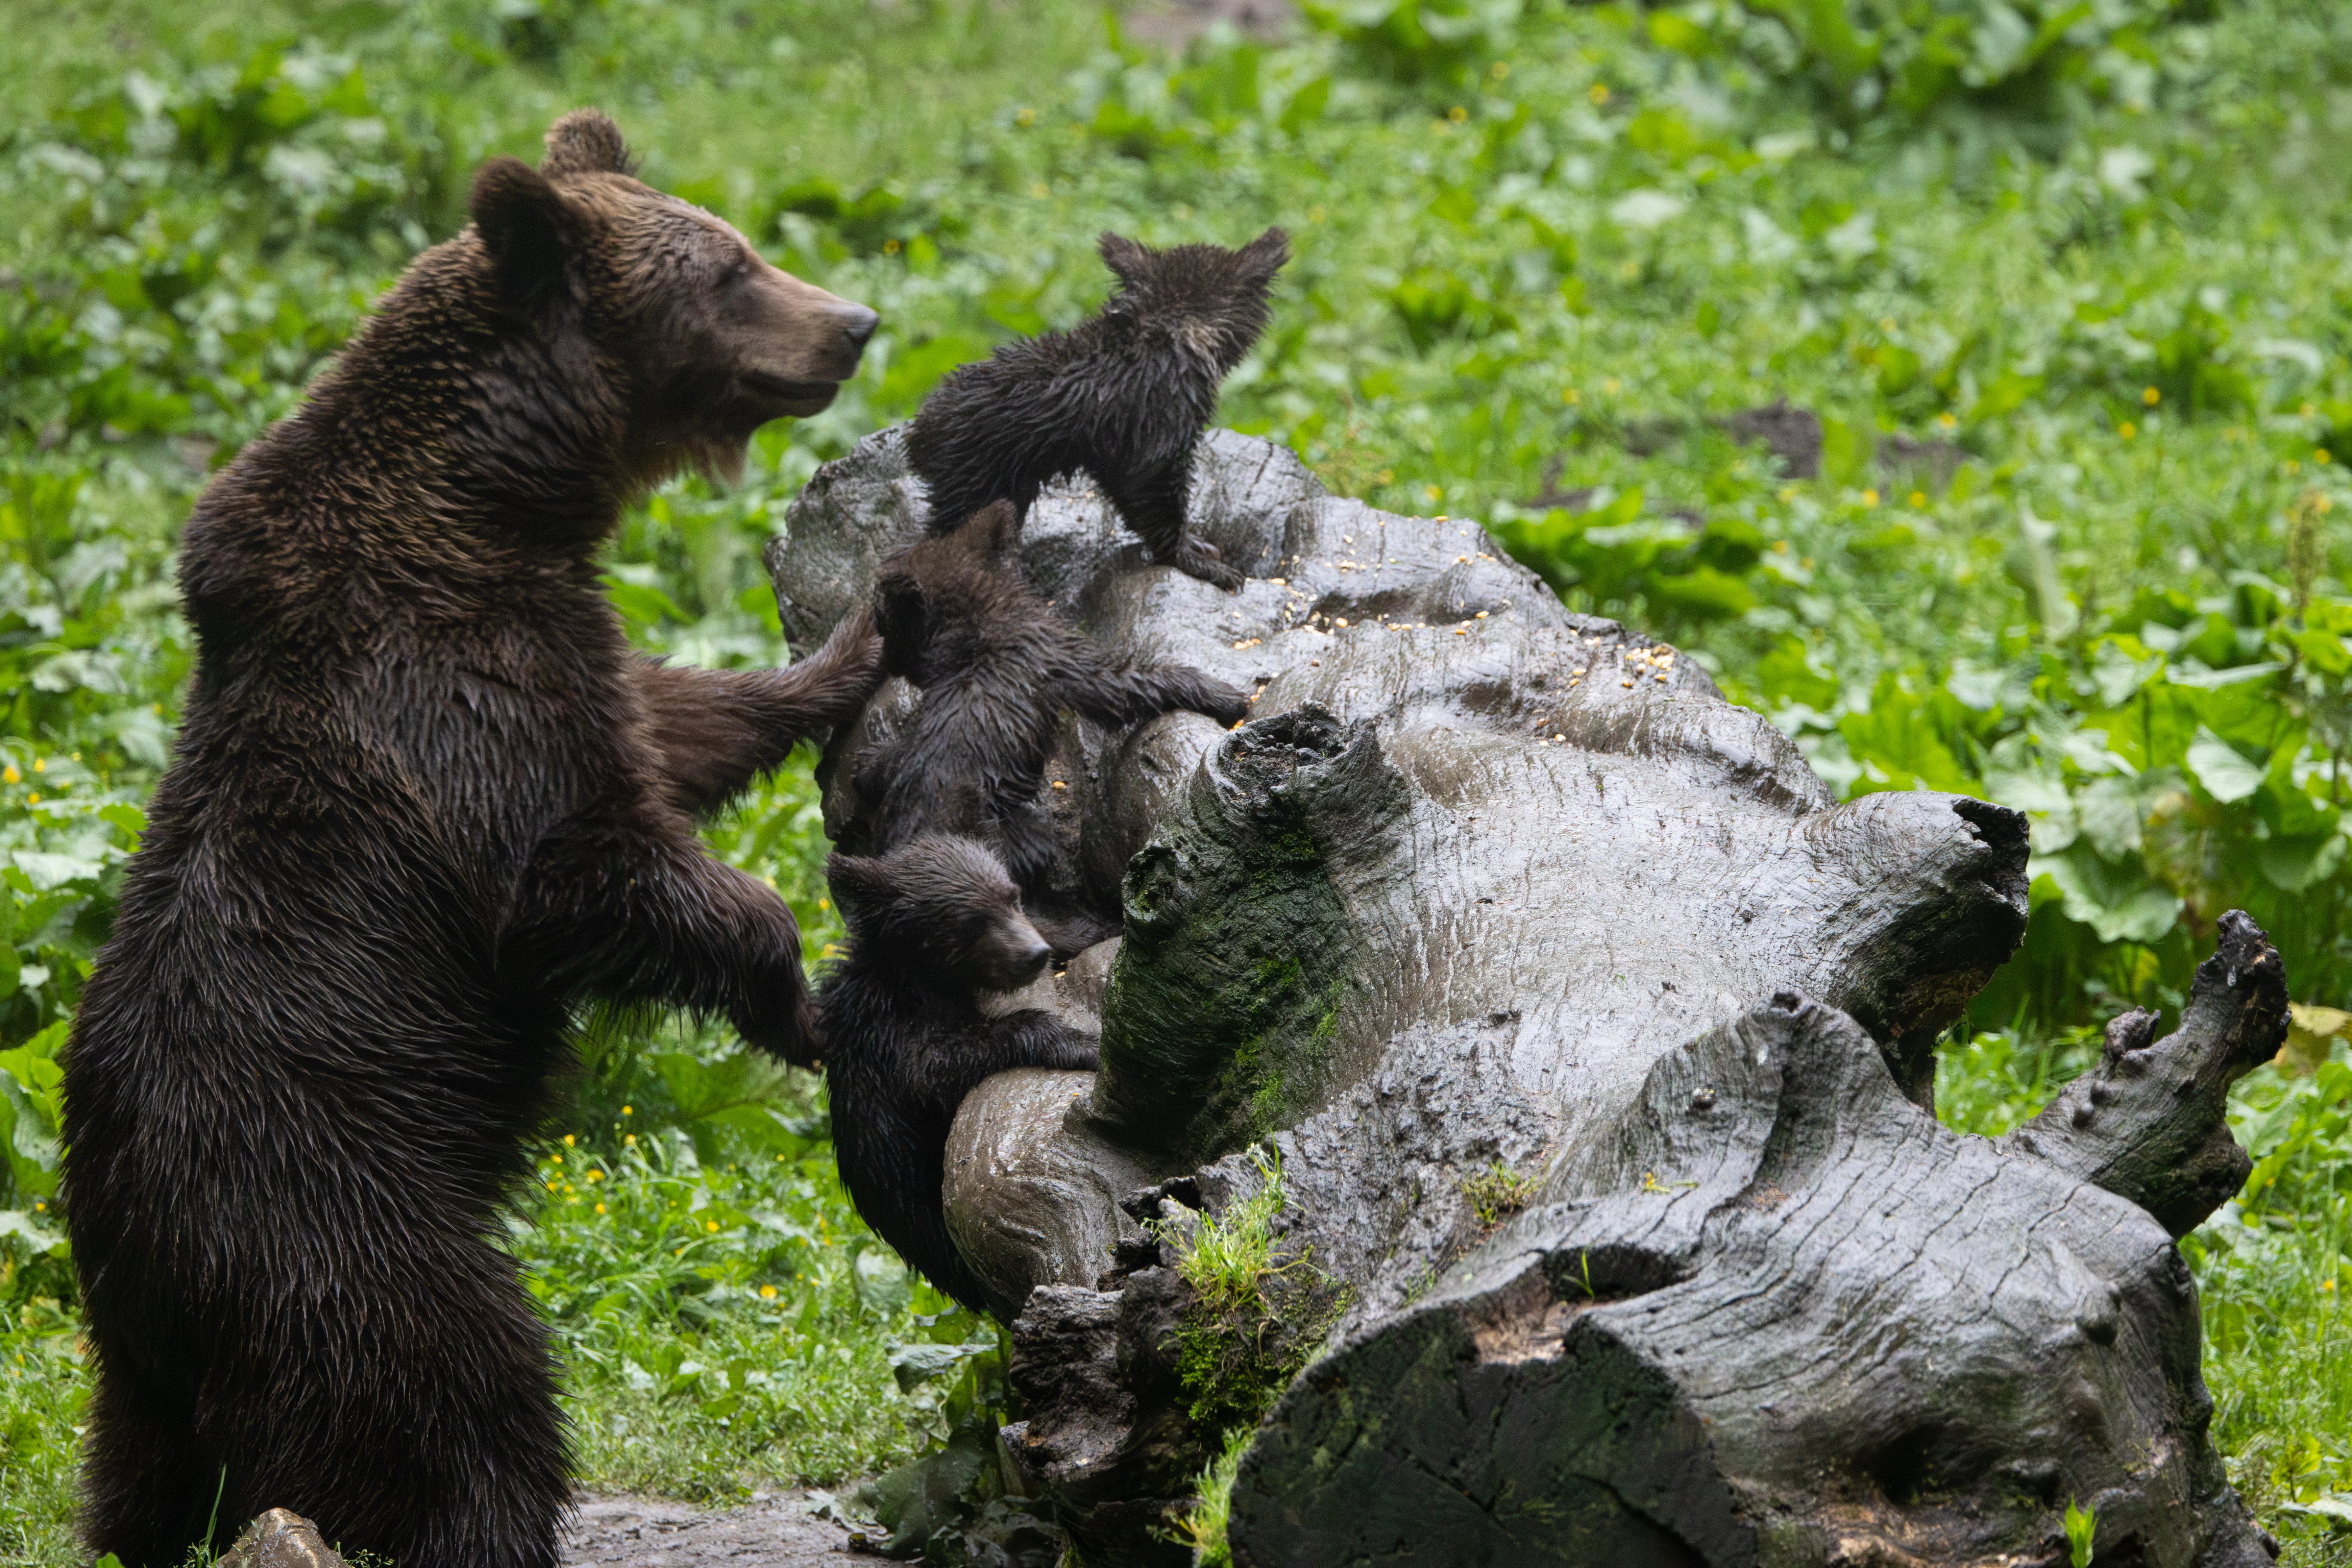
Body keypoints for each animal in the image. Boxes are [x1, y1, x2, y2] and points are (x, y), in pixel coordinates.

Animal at [59, 109, 884, 1568]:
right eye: (728, 268)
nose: (854, 322)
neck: (493, 501)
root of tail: (123, 1232)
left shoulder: (560, 642)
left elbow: (678, 724)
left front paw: (848, 647)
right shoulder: (449, 702)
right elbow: (589, 871)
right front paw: (798, 1000)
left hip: (145, 1355)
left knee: (145, 1474)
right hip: (337, 1219)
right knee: (455, 1391)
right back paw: (491, 1516)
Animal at [818, 833, 1101, 1312]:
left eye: (1013, 896)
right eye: (972, 920)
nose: (1034, 954)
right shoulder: (891, 1033)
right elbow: (935, 1066)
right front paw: (1082, 1043)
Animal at [854, 499, 1250, 949]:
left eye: (884, 623)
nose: (886, 664)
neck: (981, 635)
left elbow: (892, 753)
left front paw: (869, 763)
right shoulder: (1071, 668)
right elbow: (1143, 680)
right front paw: (1224, 694)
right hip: (1016, 836)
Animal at [904, 227, 1289, 590]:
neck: (1170, 327)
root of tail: (918, 441)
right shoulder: (1156, 438)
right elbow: (1160, 509)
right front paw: (1198, 561)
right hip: (975, 485)